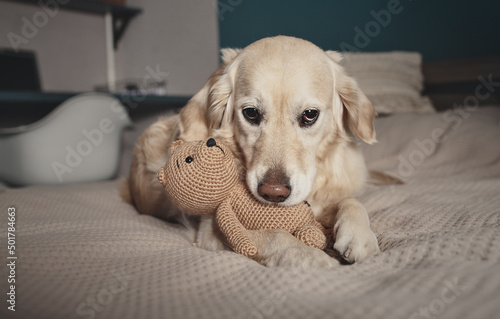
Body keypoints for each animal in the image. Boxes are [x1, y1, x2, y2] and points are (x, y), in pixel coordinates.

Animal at [124, 36, 382, 268]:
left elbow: (350, 200)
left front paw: (359, 235)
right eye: (251, 113)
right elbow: (274, 235)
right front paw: (311, 257)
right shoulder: (211, 230)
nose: (274, 193)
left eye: (309, 114)